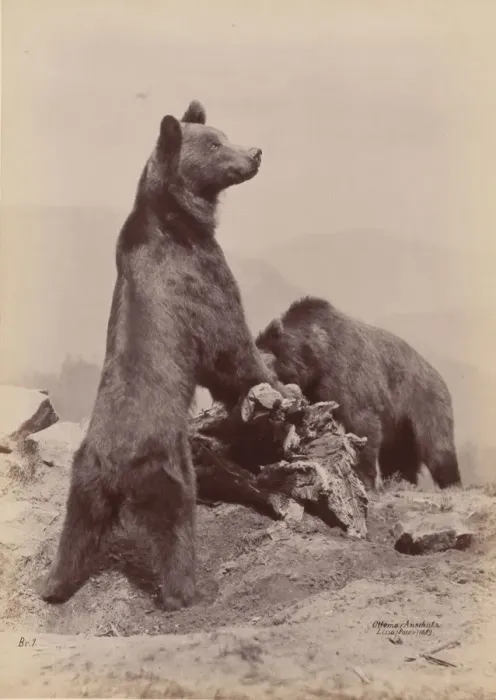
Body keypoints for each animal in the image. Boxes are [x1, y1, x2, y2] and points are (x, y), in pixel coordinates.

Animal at [39, 99, 288, 611]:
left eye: (223, 134)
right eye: (214, 144)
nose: (255, 152)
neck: (177, 216)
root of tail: (114, 465)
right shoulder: (199, 274)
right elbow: (230, 345)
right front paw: (280, 382)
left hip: (83, 484)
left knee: (74, 535)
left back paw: (52, 586)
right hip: (167, 471)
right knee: (176, 527)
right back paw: (189, 590)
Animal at [256, 295, 461, 491]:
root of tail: (438, 375)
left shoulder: (345, 376)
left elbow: (361, 422)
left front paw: (363, 478)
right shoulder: (313, 390)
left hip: (422, 400)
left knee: (436, 446)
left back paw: (451, 482)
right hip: (400, 425)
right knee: (398, 454)